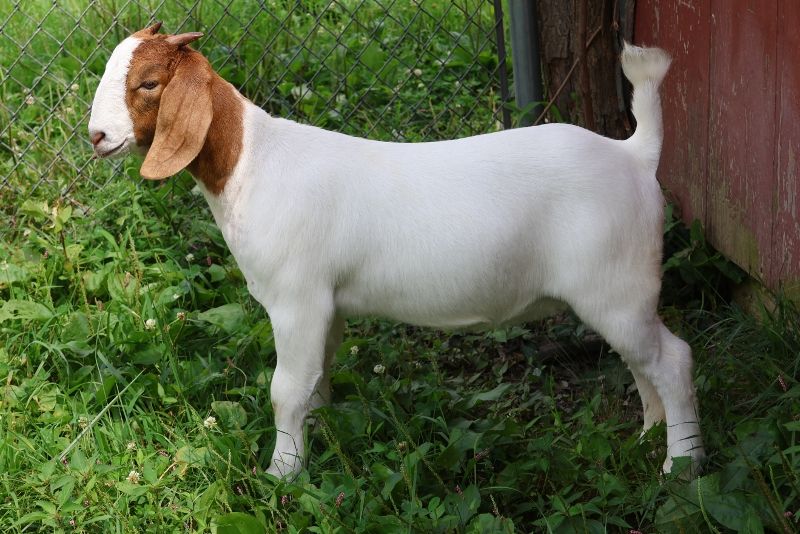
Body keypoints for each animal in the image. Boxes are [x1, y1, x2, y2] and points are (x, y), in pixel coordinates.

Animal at [88, 23, 705, 478]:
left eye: (148, 83)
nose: (96, 137)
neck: (250, 162)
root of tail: (633, 154)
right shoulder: (326, 305)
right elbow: (316, 379)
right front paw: (322, 439)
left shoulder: (296, 300)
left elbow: (285, 389)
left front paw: (282, 475)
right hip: (620, 293)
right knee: (641, 360)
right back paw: (649, 435)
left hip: (616, 284)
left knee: (672, 359)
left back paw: (681, 465)